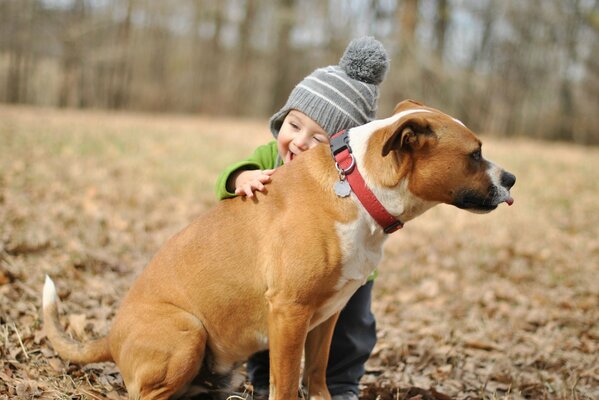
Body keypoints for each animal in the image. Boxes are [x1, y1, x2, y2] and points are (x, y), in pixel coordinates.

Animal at [44, 98, 516, 398]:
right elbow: (287, 384)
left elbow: (319, 373)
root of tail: (111, 336)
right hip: (188, 332)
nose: (511, 179)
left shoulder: (328, 314)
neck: (356, 186)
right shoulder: (290, 313)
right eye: (475, 154)